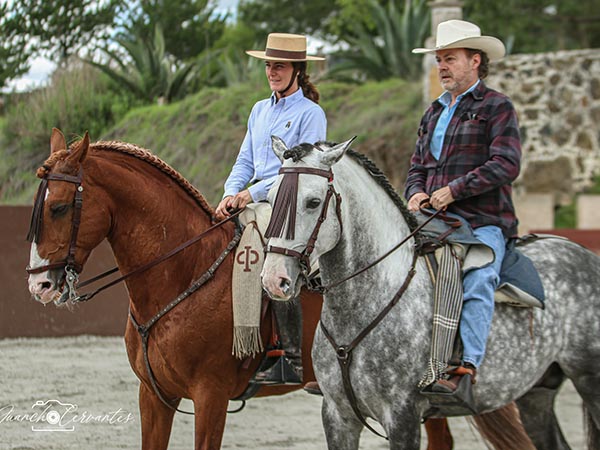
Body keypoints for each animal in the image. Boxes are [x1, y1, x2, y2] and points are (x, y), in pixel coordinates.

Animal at [262, 138, 600, 450]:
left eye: (313, 202)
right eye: (270, 197)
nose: (274, 279)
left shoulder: (402, 416)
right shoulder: (337, 415)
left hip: (588, 380)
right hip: (536, 393)